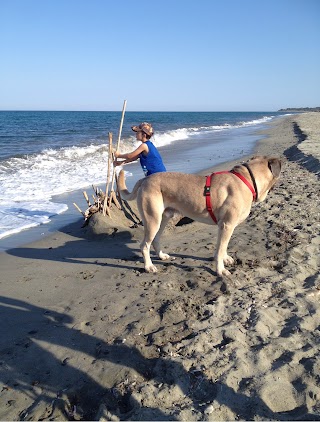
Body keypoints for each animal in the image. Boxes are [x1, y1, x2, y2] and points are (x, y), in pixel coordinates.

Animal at [117, 156, 280, 276]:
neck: (246, 180)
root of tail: (145, 179)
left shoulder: (224, 227)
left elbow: (222, 247)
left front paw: (225, 258)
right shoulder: (227, 225)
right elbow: (220, 249)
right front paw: (220, 270)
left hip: (163, 218)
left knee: (155, 239)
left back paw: (162, 256)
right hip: (153, 219)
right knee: (144, 245)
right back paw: (149, 266)